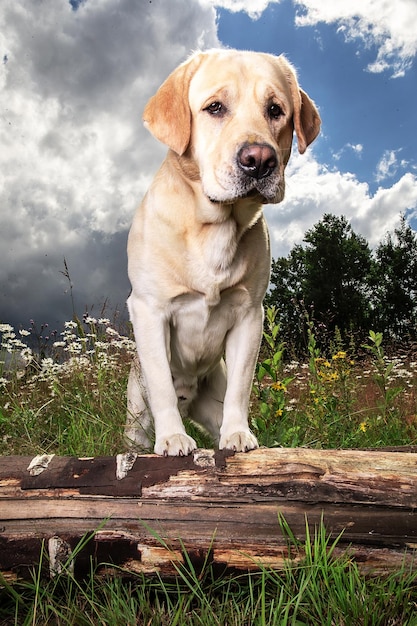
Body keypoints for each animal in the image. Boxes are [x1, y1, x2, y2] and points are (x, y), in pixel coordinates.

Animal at [123, 47, 318, 454]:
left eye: (276, 110)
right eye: (214, 107)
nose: (259, 159)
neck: (214, 227)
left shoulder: (249, 316)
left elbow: (241, 389)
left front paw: (238, 433)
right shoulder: (149, 310)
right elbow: (162, 386)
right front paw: (173, 437)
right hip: (136, 417)